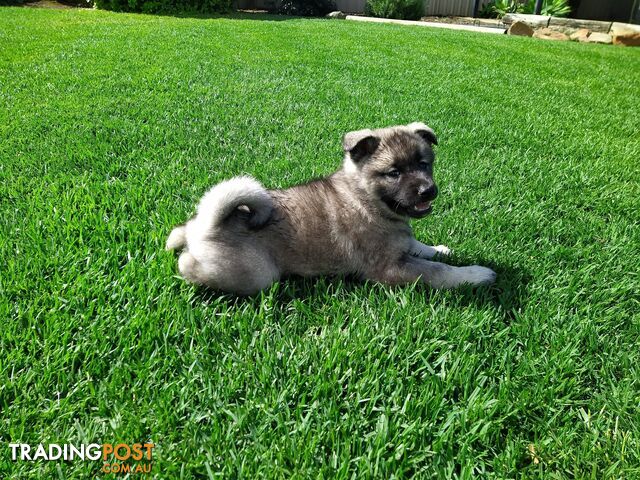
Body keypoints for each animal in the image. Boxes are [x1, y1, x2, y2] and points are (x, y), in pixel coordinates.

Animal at [165, 122, 496, 294]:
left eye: (424, 164)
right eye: (394, 173)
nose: (428, 190)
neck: (364, 200)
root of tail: (210, 225)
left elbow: (418, 246)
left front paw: (438, 248)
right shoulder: (391, 268)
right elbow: (437, 271)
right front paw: (475, 274)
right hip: (258, 274)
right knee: (191, 265)